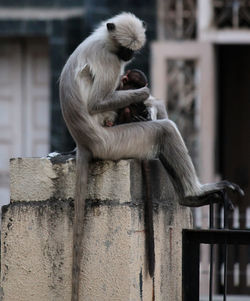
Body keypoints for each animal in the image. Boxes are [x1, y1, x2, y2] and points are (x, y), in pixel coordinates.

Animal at [59, 12, 244, 300]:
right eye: (124, 50)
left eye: (132, 51)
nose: (128, 57)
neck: (103, 40)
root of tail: (84, 143)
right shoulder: (109, 59)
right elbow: (98, 103)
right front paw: (144, 95)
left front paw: (148, 102)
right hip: (116, 142)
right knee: (164, 130)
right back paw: (192, 193)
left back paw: (187, 196)